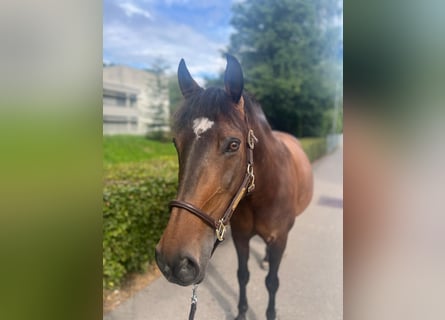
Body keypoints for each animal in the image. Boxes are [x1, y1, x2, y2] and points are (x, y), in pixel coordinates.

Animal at [155, 53, 312, 318]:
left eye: (234, 144)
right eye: (176, 143)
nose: (174, 261)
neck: (264, 195)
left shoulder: (279, 239)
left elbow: (272, 282)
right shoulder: (241, 237)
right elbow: (242, 275)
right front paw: (241, 312)